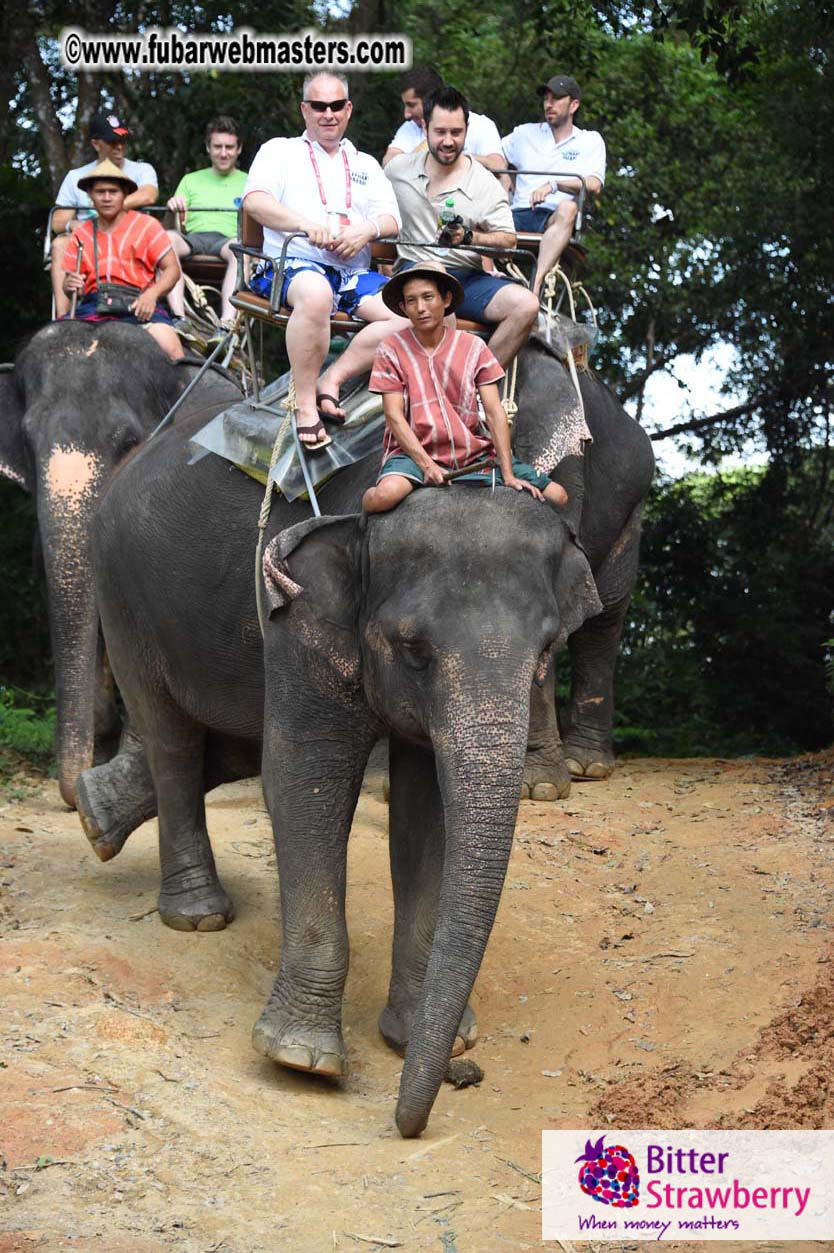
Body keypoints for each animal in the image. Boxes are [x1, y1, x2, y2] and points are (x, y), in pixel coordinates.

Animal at [76, 339, 653, 1137]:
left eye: (544, 651)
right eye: (412, 649)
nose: (411, 1122)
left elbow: (426, 808)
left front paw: (421, 1039)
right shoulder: (296, 607)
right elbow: (305, 775)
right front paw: (301, 1059)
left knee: (226, 739)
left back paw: (95, 815)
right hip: (122, 590)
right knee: (172, 736)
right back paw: (196, 916)